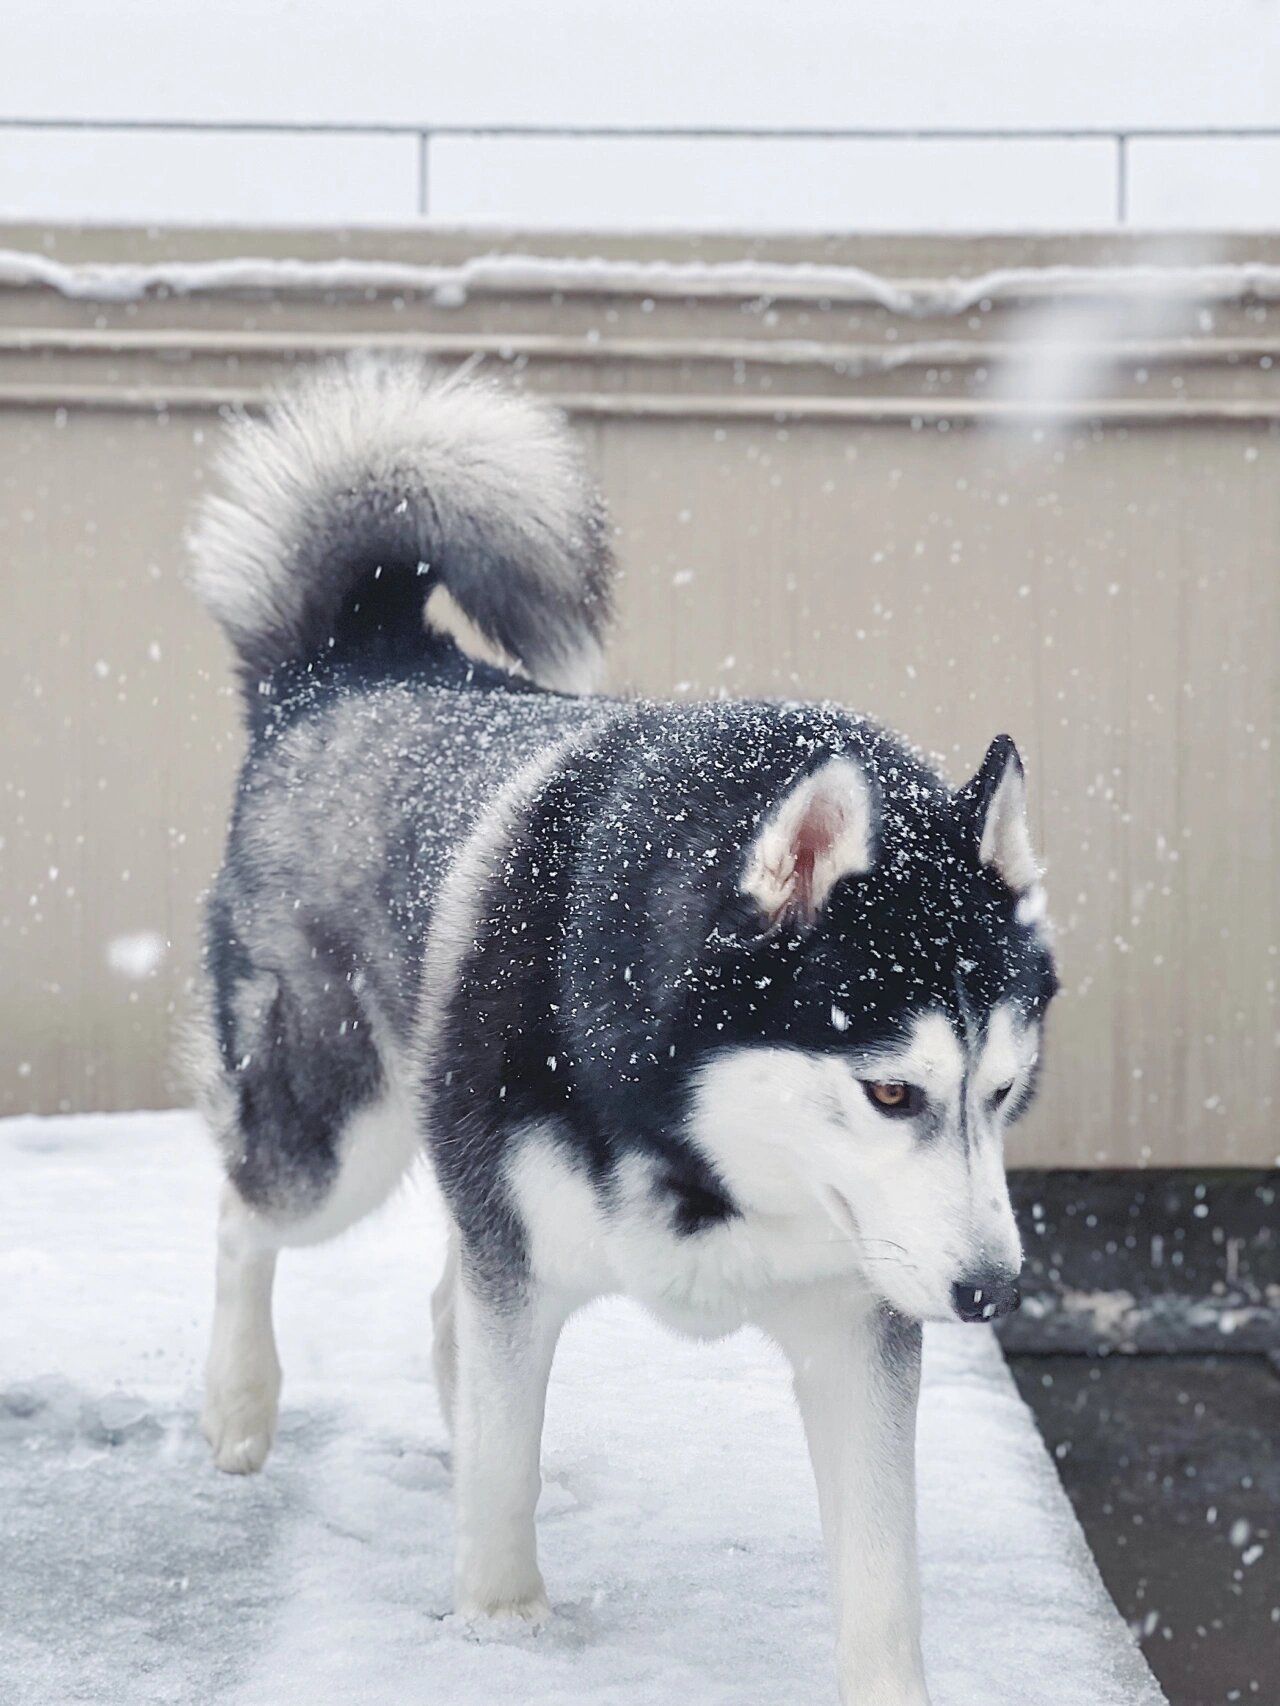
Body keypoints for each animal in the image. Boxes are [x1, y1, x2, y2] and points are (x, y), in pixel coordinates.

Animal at [187, 359, 1051, 1706]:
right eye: (890, 1093)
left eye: (1005, 1090)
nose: (986, 1291)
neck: (702, 1137)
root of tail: (354, 662)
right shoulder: (522, 1250)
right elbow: (498, 1502)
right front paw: (501, 1634)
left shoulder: (858, 1322)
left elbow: (881, 1587)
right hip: (337, 1137)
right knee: (246, 1211)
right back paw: (238, 1406)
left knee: (445, 1309)